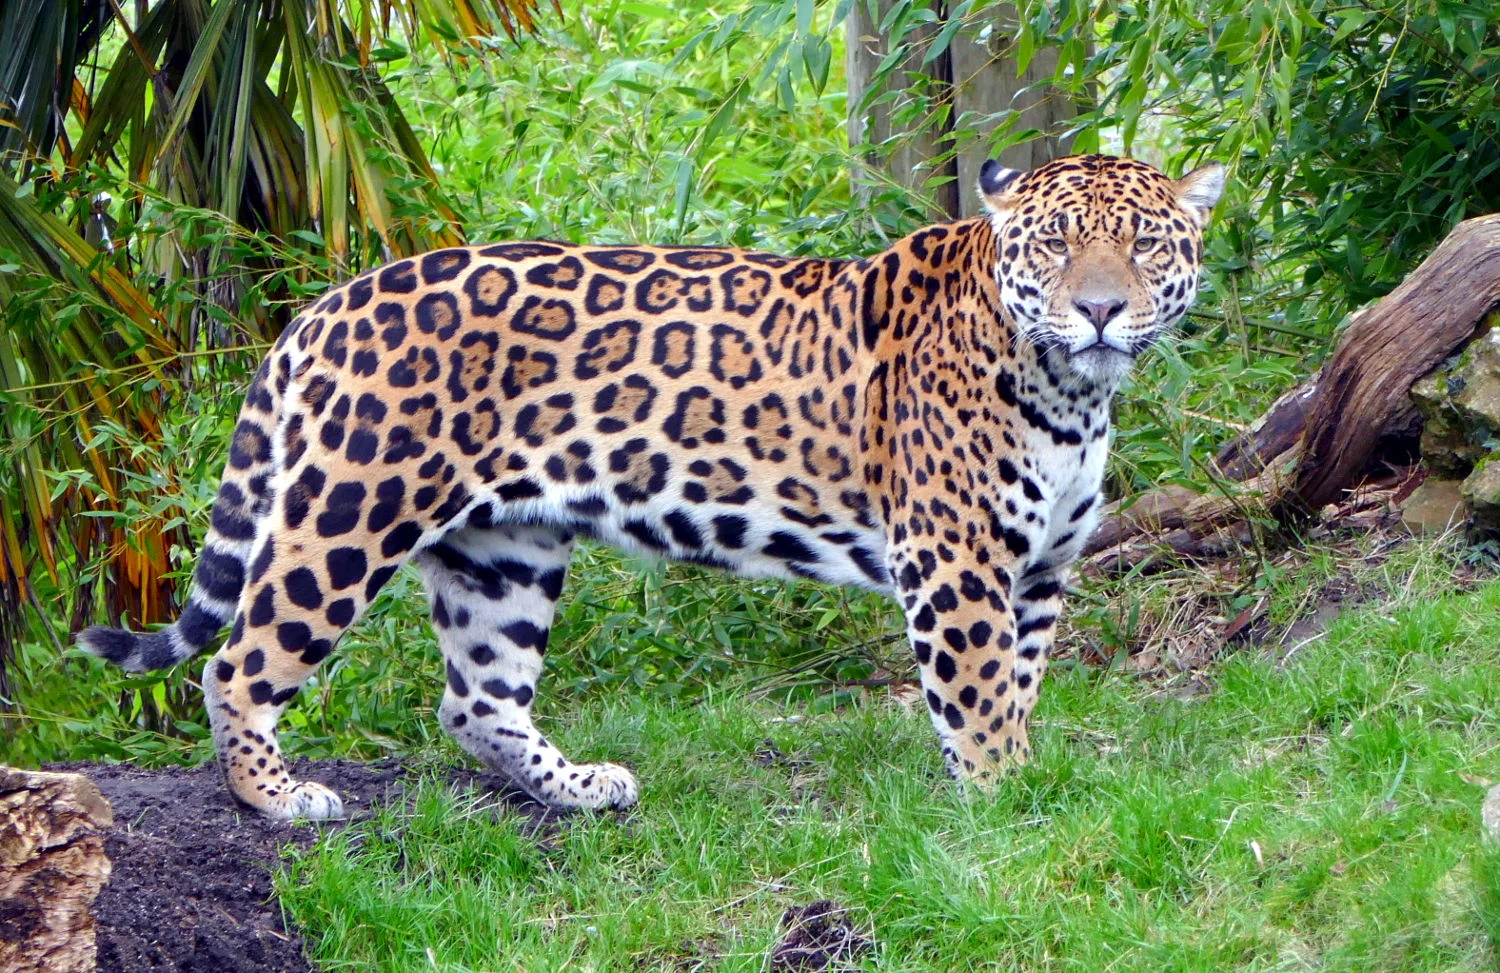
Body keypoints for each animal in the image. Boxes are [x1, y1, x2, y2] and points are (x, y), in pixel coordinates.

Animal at [79, 153, 1224, 820]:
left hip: (503, 550)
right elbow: (980, 694)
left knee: (475, 698)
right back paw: (277, 798)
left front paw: (1024, 780)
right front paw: (998, 803)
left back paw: (582, 790)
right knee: (236, 663)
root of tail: (330, 300)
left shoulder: (1039, 570)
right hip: (349, 513)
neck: (1072, 388)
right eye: (1058, 245)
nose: (1100, 310)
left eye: (1143, 243)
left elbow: (1019, 686)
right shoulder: (957, 560)